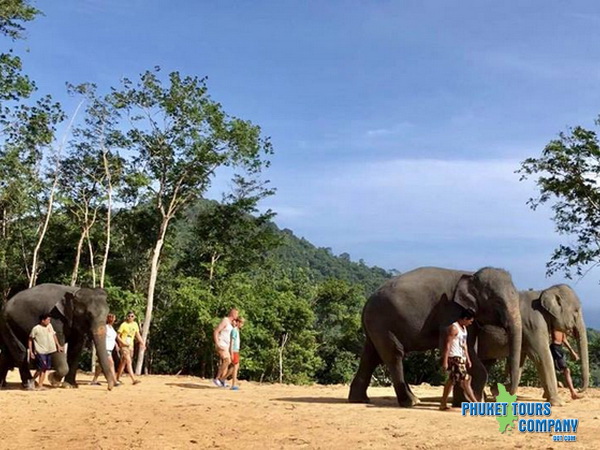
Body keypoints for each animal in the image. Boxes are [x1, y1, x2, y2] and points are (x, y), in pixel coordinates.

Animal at [350, 268, 524, 408]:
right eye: (498, 301)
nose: (499, 390)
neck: (471, 274)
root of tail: (366, 302)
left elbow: (469, 347)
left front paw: (463, 402)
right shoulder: (450, 311)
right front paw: (472, 401)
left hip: (375, 326)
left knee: (371, 355)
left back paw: (359, 400)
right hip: (382, 322)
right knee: (394, 354)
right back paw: (411, 402)